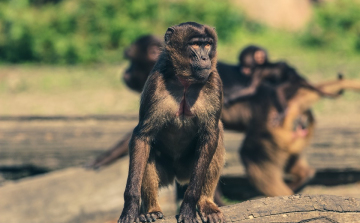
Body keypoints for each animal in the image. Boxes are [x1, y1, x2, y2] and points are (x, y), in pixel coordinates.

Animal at [118, 22, 225, 223]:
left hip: (189, 169)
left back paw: (206, 202)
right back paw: (152, 210)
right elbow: (142, 137)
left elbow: (210, 134)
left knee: (217, 136)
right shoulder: (155, 83)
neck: (185, 81)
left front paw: (189, 205)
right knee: (147, 150)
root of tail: (178, 175)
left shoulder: (214, 81)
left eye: (207, 44)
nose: (205, 57)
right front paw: (130, 207)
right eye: (195, 44)